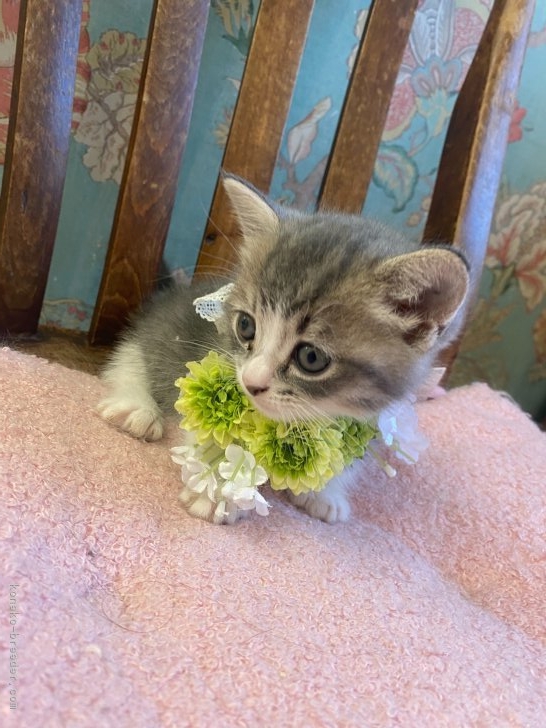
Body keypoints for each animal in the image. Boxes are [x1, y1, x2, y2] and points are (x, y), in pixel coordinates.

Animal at [98, 175, 470, 524]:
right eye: (246, 326)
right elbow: (218, 429)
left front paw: (326, 493)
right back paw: (136, 407)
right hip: (161, 329)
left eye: (311, 357)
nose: (251, 383)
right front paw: (218, 489)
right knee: (134, 354)